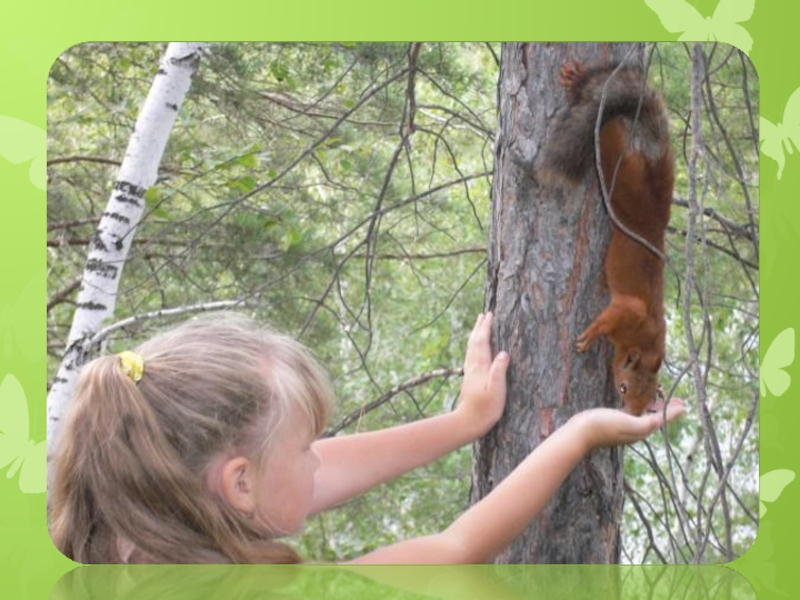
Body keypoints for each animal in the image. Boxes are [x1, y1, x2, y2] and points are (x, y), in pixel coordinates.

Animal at [548, 62, 672, 418]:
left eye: (647, 405)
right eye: (624, 387)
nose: (628, 414)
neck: (647, 341)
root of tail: (655, 217)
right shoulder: (628, 310)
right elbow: (608, 319)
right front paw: (589, 337)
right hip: (618, 171)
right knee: (608, 135)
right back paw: (578, 80)